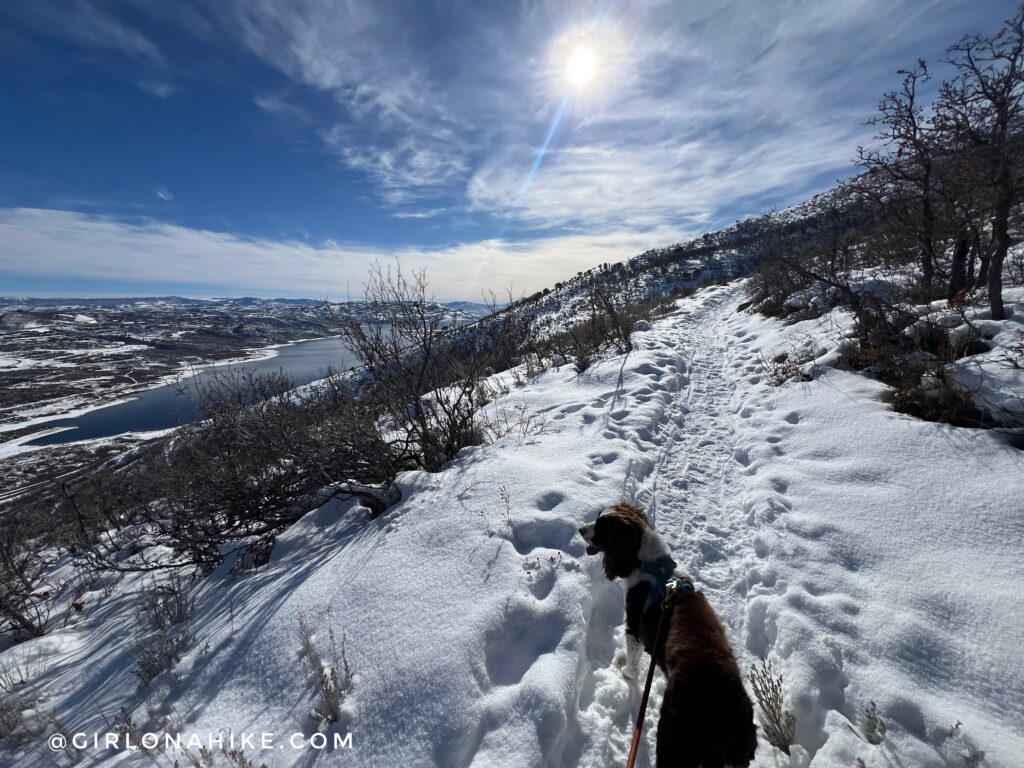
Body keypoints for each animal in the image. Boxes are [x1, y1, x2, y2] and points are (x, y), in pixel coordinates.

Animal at [581, 505, 757, 768]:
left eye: (601, 526)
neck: (652, 564)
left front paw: (627, 671)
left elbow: (632, 656)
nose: (580, 529)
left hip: (673, 740)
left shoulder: (635, 625)